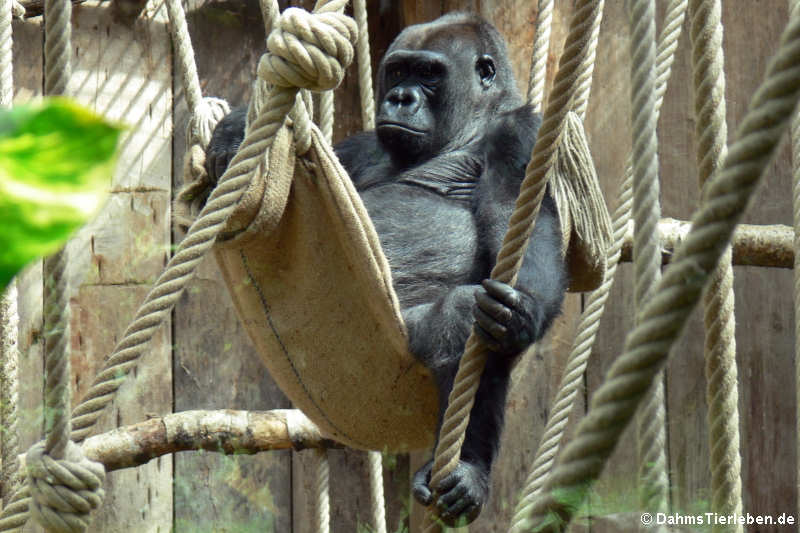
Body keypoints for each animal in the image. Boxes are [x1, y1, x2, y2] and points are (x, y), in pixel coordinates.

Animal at [206, 11, 568, 524]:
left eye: (429, 73)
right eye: (397, 72)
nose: (399, 98)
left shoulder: (523, 136)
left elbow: (520, 216)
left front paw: (525, 310)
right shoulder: (363, 147)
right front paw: (235, 131)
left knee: (464, 320)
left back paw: (467, 468)